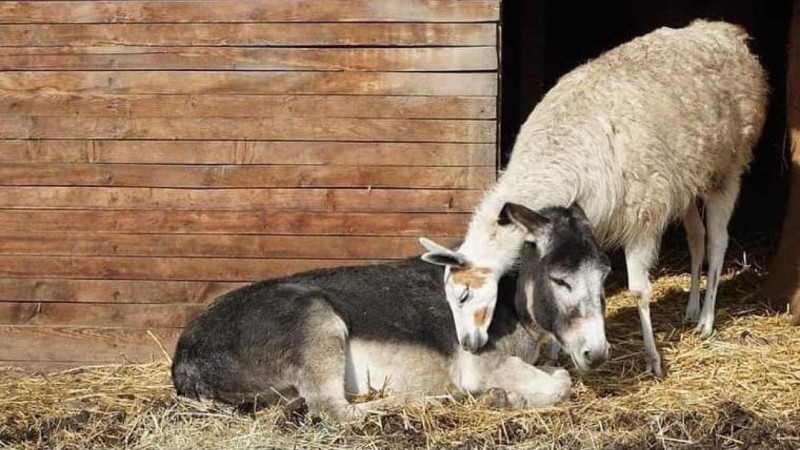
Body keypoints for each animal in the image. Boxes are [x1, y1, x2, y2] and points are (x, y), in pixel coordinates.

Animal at [422, 20, 764, 376]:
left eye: (463, 295)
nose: (468, 343)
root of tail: (722, 32)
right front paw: (555, 353)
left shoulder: (641, 216)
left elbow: (639, 290)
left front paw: (652, 359)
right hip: (688, 181)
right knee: (696, 238)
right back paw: (693, 309)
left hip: (728, 168)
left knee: (717, 240)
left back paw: (707, 320)